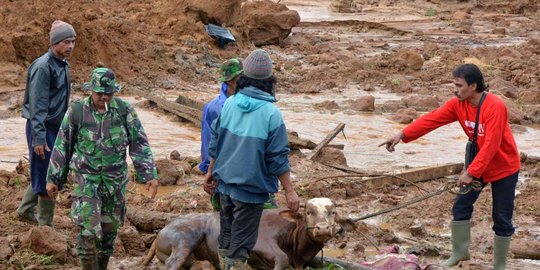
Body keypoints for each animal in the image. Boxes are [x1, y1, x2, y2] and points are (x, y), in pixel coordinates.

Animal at [143, 197, 354, 268]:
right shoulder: (262, 242)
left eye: (332, 212)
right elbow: (282, 258)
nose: (323, 228)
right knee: (172, 263)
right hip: (185, 241)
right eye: (309, 212)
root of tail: (162, 231)